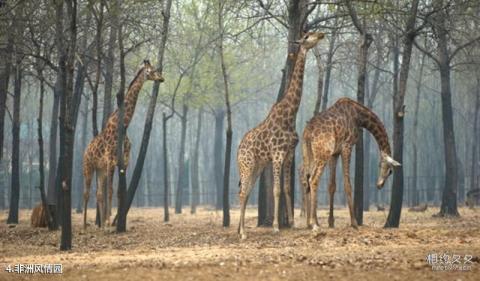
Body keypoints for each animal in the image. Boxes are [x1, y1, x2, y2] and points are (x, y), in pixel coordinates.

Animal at [83, 59, 165, 228]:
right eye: (151, 71)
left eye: (155, 69)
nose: (161, 78)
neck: (123, 127)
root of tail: (85, 150)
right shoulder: (110, 161)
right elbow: (110, 191)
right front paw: (109, 221)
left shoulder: (123, 163)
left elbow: (120, 192)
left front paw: (116, 222)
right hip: (88, 166)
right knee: (86, 193)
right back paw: (85, 225)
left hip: (100, 170)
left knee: (98, 193)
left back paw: (100, 225)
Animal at [237, 31, 326, 238]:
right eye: (307, 36)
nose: (321, 34)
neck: (289, 114)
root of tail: (238, 149)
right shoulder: (277, 154)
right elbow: (276, 189)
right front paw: (276, 226)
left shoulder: (289, 154)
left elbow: (286, 188)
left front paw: (292, 223)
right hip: (247, 164)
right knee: (243, 192)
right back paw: (243, 232)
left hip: (257, 166)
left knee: (246, 191)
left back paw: (240, 229)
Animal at [300, 97, 402, 230]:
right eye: (390, 171)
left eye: (381, 166)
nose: (379, 185)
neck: (359, 117)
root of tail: (308, 132)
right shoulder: (347, 146)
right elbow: (348, 184)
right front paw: (354, 223)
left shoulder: (335, 153)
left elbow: (332, 185)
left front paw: (331, 222)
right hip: (323, 153)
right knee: (313, 179)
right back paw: (314, 223)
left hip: (309, 153)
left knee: (305, 178)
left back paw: (309, 223)